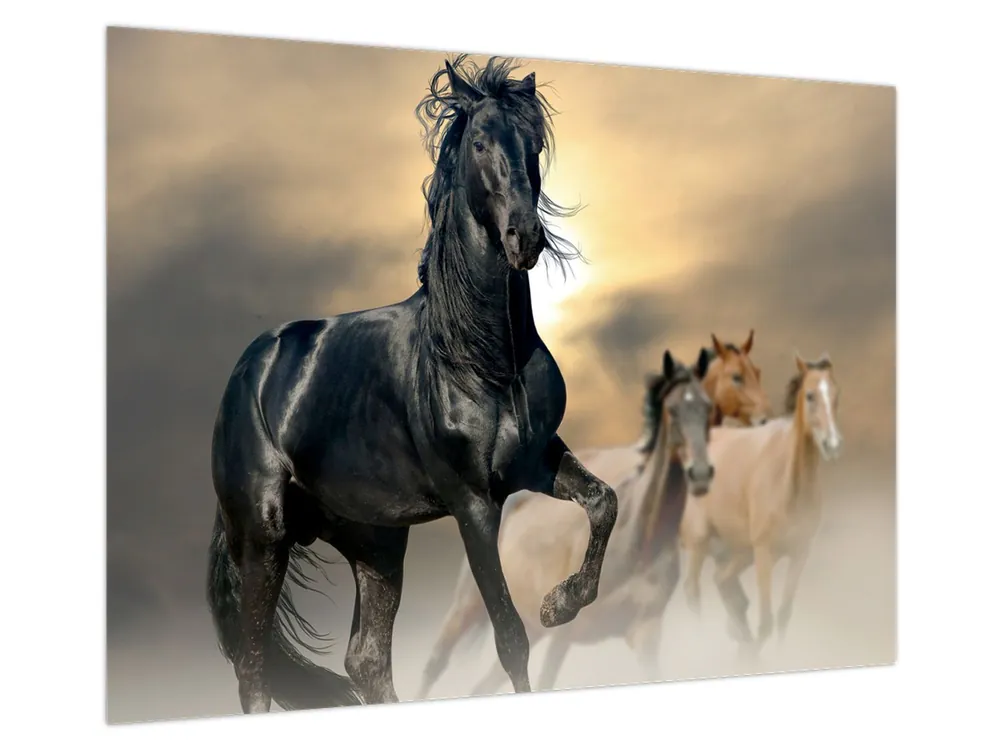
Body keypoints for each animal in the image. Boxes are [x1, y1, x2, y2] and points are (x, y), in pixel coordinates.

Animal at [205, 55, 619, 714]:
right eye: (479, 143)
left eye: (533, 144)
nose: (524, 239)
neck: (480, 358)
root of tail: (248, 371)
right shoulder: (472, 504)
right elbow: (510, 637)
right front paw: (550, 610)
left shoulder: (537, 461)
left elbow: (604, 502)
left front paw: (561, 602)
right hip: (263, 539)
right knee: (253, 669)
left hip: (375, 544)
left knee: (366, 661)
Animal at [417, 345, 749, 698]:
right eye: (672, 409)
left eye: (707, 408)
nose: (700, 474)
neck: (639, 543)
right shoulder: (564, 636)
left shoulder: (645, 633)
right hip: (466, 610)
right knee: (434, 665)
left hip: (530, 629)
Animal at [679, 351, 843, 654]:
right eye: (810, 395)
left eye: (836, 394)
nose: (833, 444)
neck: (789, 485)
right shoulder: (765, 552)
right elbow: (766, 621)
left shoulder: (800, 552)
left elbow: (783, 616)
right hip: (701, 542)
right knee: (693, 591)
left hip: (740, 550)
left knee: (723, 581)